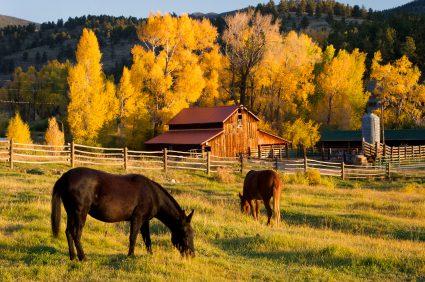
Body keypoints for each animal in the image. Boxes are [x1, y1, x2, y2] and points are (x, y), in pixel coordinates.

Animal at [51, 166, 195, 262]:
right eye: (186, 235)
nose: (192, 255)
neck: (152, 195)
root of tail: (64, 177)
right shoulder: (137, 218)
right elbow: (133, 237)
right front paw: (130, 256)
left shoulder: (145, 221)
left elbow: (147, 239)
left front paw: (150, 255)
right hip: (80, 213)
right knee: (76, 234)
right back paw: (83, 258)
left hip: (71, 213)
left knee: (69, 232)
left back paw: (73, 258)